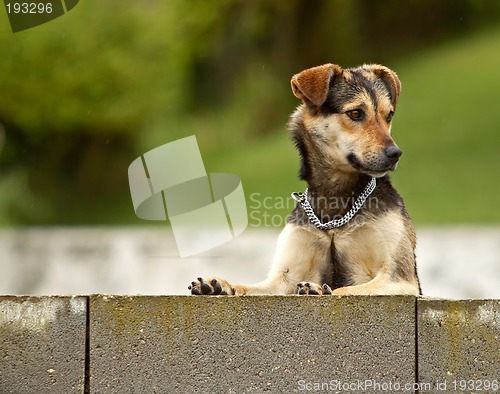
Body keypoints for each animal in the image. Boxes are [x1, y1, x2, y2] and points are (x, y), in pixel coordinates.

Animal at [189, 62, 420, 296]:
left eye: (389, 115)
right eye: (355, 113)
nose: (395, 154)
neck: (334, 206)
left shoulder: (399, 279)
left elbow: (344, 289)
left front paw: (320, 289)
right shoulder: (284, 279)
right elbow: (248, 287)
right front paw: (221, 285)